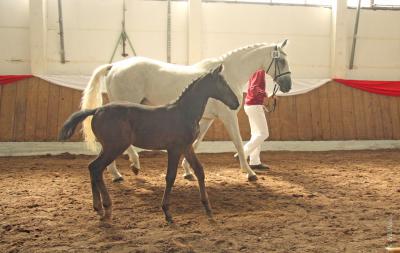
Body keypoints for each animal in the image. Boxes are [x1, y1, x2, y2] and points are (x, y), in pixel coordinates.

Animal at [59, 65, 239, 223]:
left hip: (108, 147)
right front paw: (167, 212)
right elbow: (170, 177)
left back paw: (98, 207)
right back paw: (107, 207)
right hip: (114, 147)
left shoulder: (186, 147)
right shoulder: (174, 149)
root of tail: (97, 110)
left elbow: (200, 171)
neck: (184, 113)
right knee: (97, 168)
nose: (236, 103)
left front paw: (208, 209)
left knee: (92, 167)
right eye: (223, 83)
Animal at [82, 40, 294, 182]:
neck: (228, 75)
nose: (288, 86)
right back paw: (129, 167)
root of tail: (114, 66)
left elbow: (196, 143)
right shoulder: (228, 116)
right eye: (281, 61)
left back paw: (118, 173)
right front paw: (249, 173)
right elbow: (239, 143)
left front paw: (187, 171)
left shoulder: (207, 119)